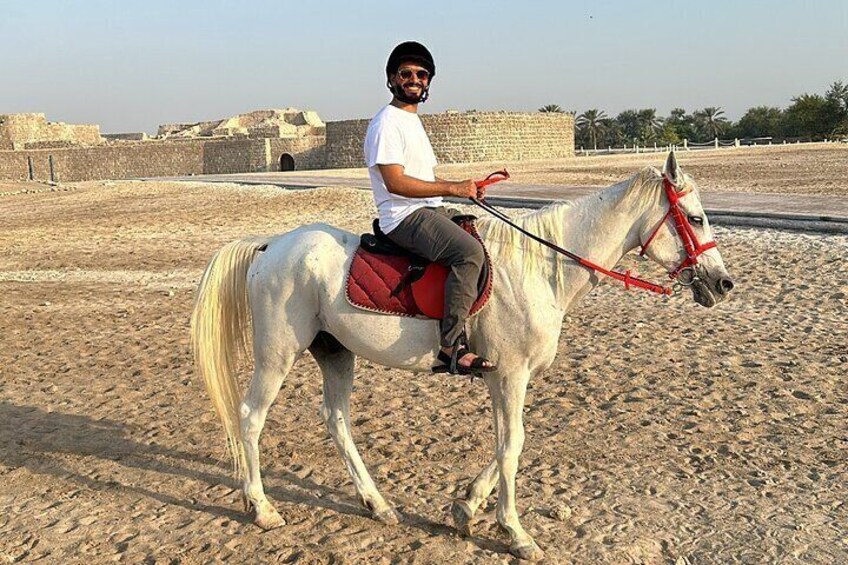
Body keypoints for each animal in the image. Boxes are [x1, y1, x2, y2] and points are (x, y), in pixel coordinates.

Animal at [190, 151, 728, 560]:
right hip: (278, 353)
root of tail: (269, 246)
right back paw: (262, 508)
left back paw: (376, 504)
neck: (539, 267)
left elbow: (506, 443)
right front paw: (516, 533)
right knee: (251, 416)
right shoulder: (509, 375)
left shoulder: (503, 377)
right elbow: (513, 445)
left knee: (337, 420)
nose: (723, 283)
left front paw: (467, 508)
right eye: (696, 218)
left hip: (336, 353)